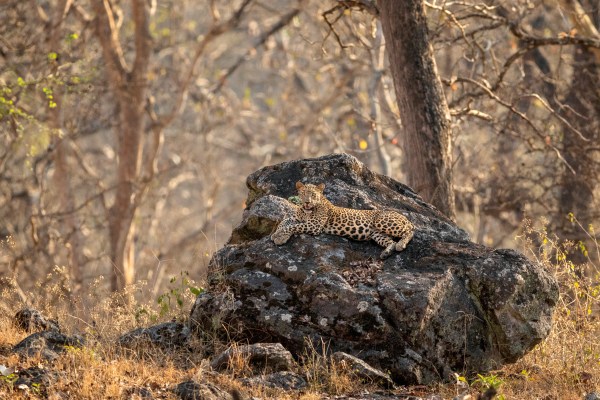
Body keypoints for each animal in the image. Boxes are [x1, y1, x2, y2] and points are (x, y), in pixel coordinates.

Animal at [270, 182, 414, 260]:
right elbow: (284, 222)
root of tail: (404, 217)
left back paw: (401, 244)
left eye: (313, 195)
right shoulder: (296, 218)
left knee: (409, 231)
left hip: (382, 221)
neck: (306, 211)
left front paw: (278, 236)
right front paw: (277, 234)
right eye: (304, 194)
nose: (307, 202)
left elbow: (293, 226)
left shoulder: (314, 226)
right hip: (377, 233)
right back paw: (386, 253)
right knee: (391, 241)